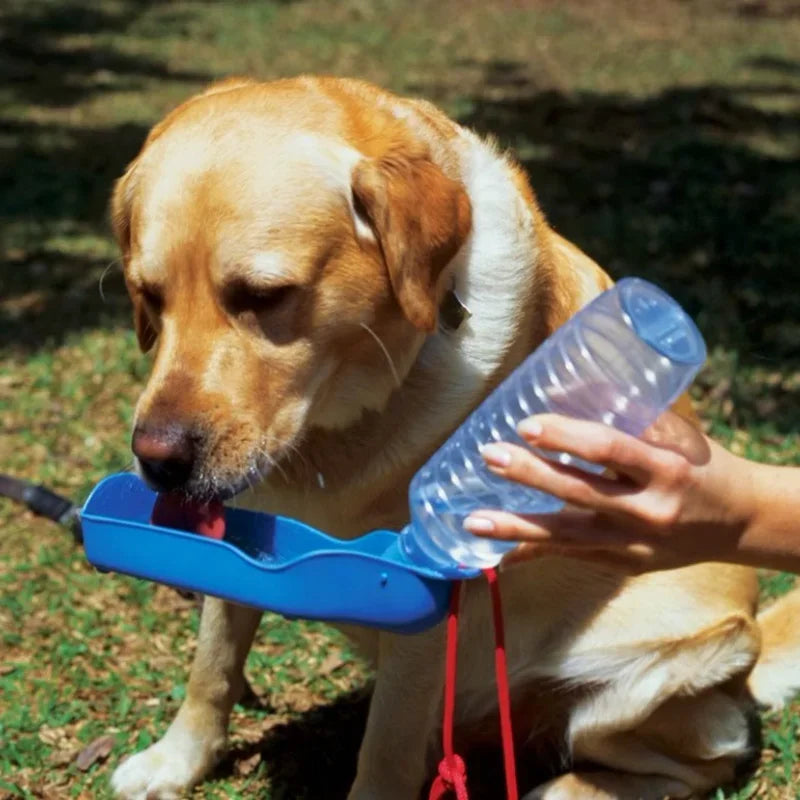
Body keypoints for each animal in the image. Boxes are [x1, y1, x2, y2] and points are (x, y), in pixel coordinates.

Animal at [108, 76, 800, 800]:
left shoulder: (427, 609)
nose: (157, 461)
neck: (338, 430)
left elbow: (385, 749)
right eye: (147, 296)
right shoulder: (233, 528)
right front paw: (176, 760)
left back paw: (563, 788)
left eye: (265, 296)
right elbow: (212, 665)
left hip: (657, 674)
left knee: (707, 758)